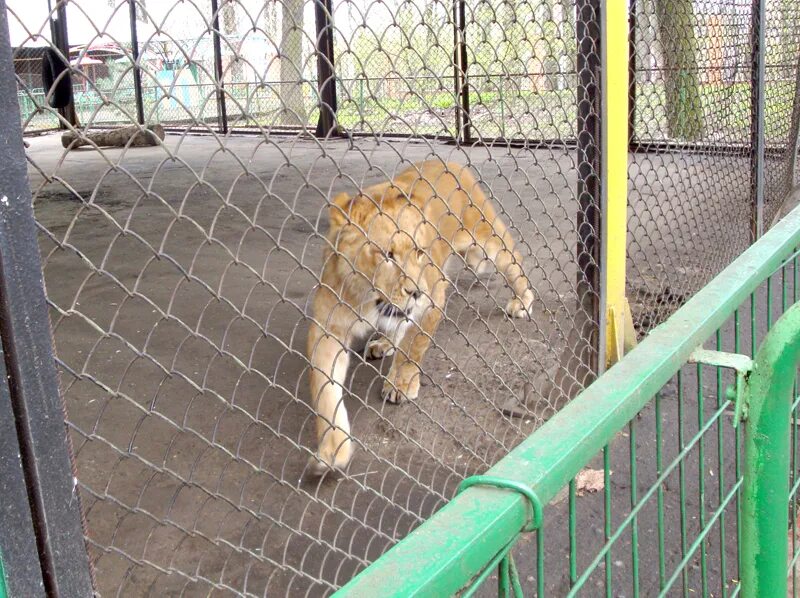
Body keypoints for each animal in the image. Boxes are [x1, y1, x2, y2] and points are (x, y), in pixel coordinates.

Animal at [306, 162, 532, 476]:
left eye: (419, 251)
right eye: (386, 255)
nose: (415, 291)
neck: (368, 298)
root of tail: (449, 162)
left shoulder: (433, 298)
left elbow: (413, 346)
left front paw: (400, 385)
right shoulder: (328, 328)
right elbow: (324, 390)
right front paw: (332, 449)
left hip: (487, 242)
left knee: (514, 260)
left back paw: (523, 300)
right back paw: (383, 343)